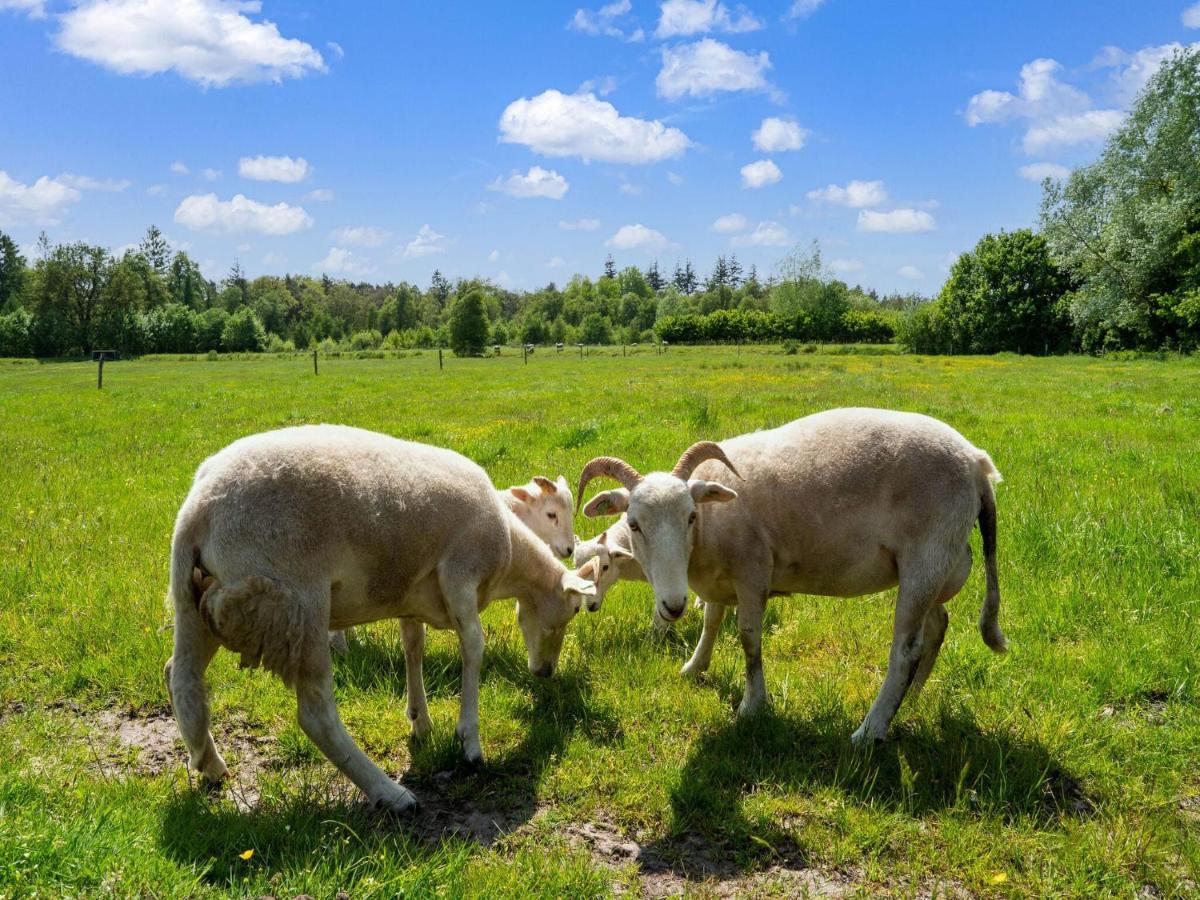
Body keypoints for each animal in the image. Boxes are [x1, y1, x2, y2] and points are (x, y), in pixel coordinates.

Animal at [576, 410, 1008, 748]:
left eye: (690, 517)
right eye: (635, 524)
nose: (672, 605)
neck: (709, 529)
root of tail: (976, 462)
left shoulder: (752, 570)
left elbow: (748, 638)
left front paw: (752, 705)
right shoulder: (720, 576)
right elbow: (711, 621)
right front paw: (694, 667)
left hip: (926, 557)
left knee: (906, 649)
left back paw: (870, 730)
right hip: (936, 565)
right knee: (937, 627)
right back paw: (912, 699)